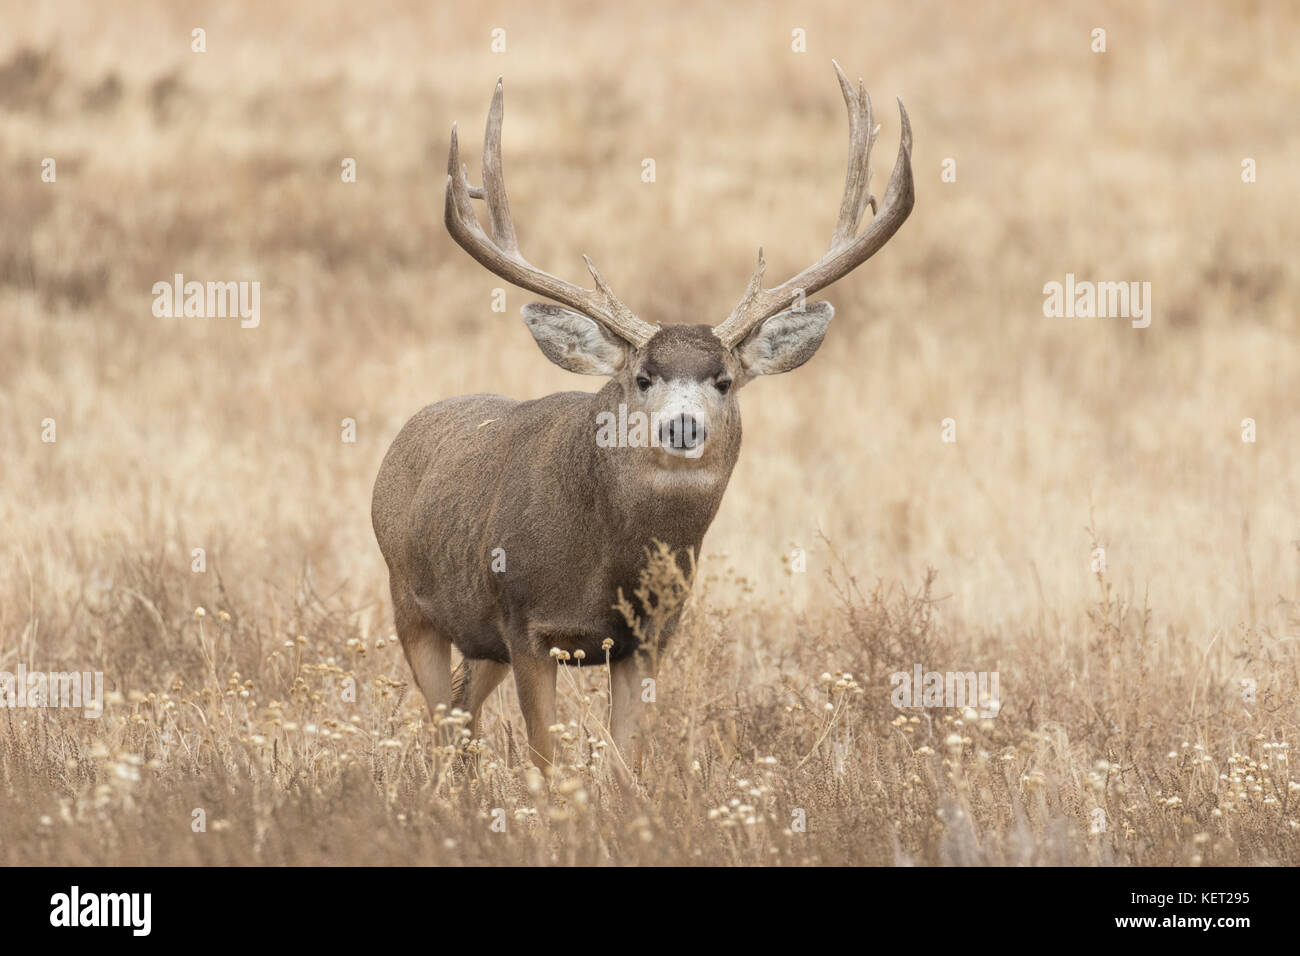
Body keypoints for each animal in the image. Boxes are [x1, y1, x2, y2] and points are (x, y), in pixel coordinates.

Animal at [371, 61, 913, 775]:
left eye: (723, 380)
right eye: (642, 377)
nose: (682, 426)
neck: (611, 563)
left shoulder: (651, 638)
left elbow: (628, 762)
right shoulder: (526, 623)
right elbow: (547, 761)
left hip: (477, 637)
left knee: (462, 714)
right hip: (411, 602)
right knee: (440, 721)